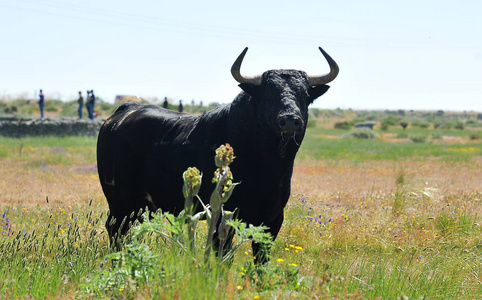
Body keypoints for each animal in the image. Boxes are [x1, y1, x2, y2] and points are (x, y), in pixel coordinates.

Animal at [97, 47, 338, 260]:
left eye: (305, 94)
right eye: (268, 94)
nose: (289, 119)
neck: (268, 166)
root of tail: (125, 111)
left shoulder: (272, 220)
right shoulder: (222, 216)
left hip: (138, 206)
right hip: (119, 201)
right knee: (116, 231)